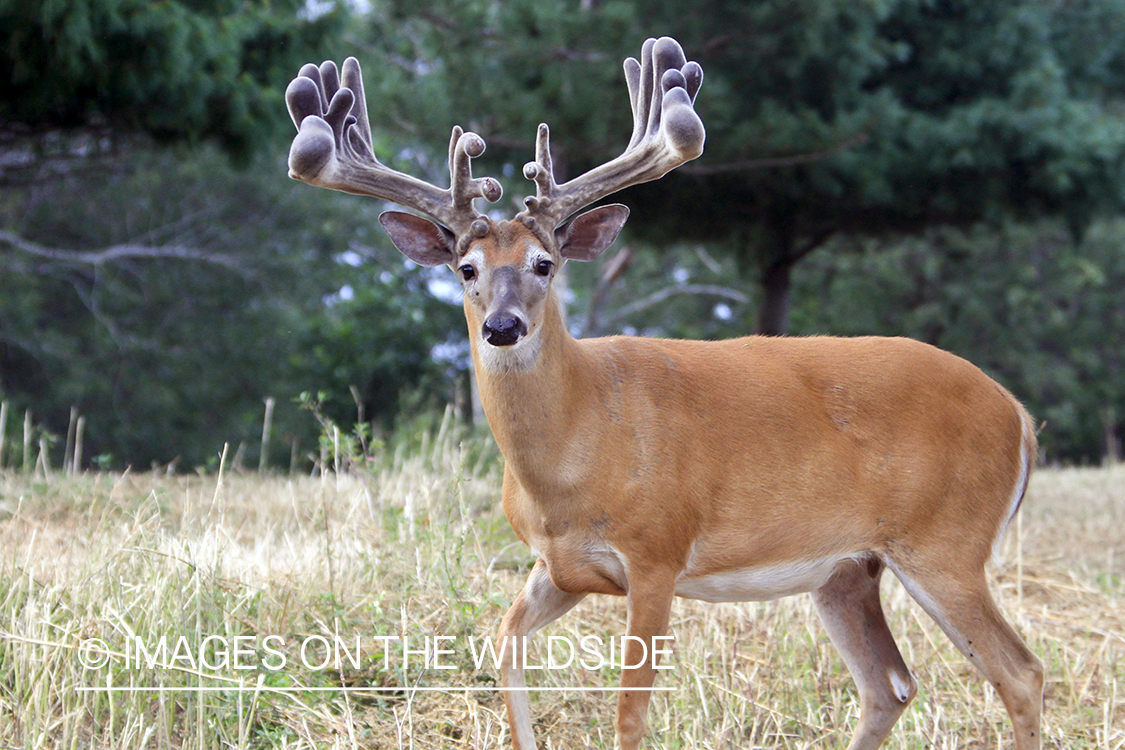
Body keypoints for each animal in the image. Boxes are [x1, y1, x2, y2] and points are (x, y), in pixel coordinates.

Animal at [283, 38, 1044, 750]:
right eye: (465, 267)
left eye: (544, 263)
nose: (503, 327)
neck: (575, 448)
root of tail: (1017, 414)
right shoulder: (557, 566)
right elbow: (504, 647)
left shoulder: (656, 554)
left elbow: (629, 712)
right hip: (848, 570)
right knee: (890, 683)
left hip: (945, 542)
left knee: (1019, 672)